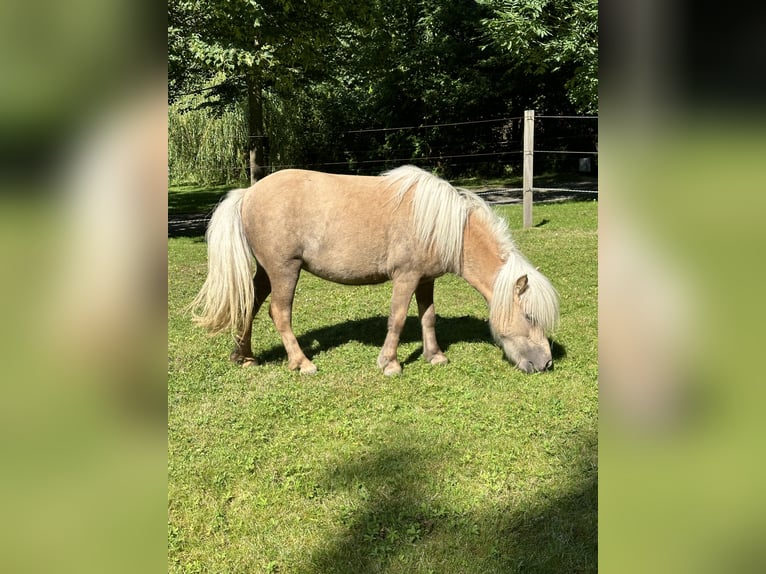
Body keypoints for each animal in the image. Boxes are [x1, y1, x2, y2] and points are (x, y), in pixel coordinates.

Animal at [190, 165, 564, 378]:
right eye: (529, 316)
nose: (546, 364)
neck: (439, 223)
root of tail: (248, 192)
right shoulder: (406, 277)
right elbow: (397, 318)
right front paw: (390, 364)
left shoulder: (425, 280)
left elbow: (428, 316)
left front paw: (434, 356)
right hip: (285, 270)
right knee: (279, 313)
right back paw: (302, 363)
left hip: (267, 272)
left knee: (249, 305)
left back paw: (244, 356)